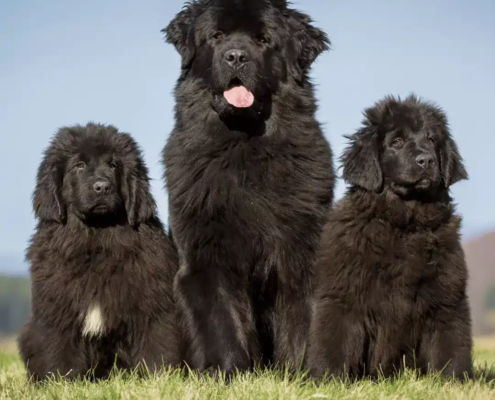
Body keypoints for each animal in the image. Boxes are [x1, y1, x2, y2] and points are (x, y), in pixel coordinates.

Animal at [19, 122, 182, 382]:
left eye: (113, 165)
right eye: (79, 165)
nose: (102, 187)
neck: (96, 239)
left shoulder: (152, 304)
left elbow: (156, 344)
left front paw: (159, 377)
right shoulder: (59, 309)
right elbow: (59, 349)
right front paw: (62, 382)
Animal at [165, 0, 336, 376]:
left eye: (262, 40)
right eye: (217, 36)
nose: (236, 57)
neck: (245, 147)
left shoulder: (302, 249)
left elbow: (302, 319)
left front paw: (303, 374)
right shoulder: (206, 254)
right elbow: (222, 320)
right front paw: (230, 373)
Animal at [306, 95, 472, 380]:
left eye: (431, 139)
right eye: (397, 142)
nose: (426, 160)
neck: (404, 224)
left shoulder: (447, 296)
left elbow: (449, 346)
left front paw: (452, 382)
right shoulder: (343, 294)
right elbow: (335, 341)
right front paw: (327, 379)